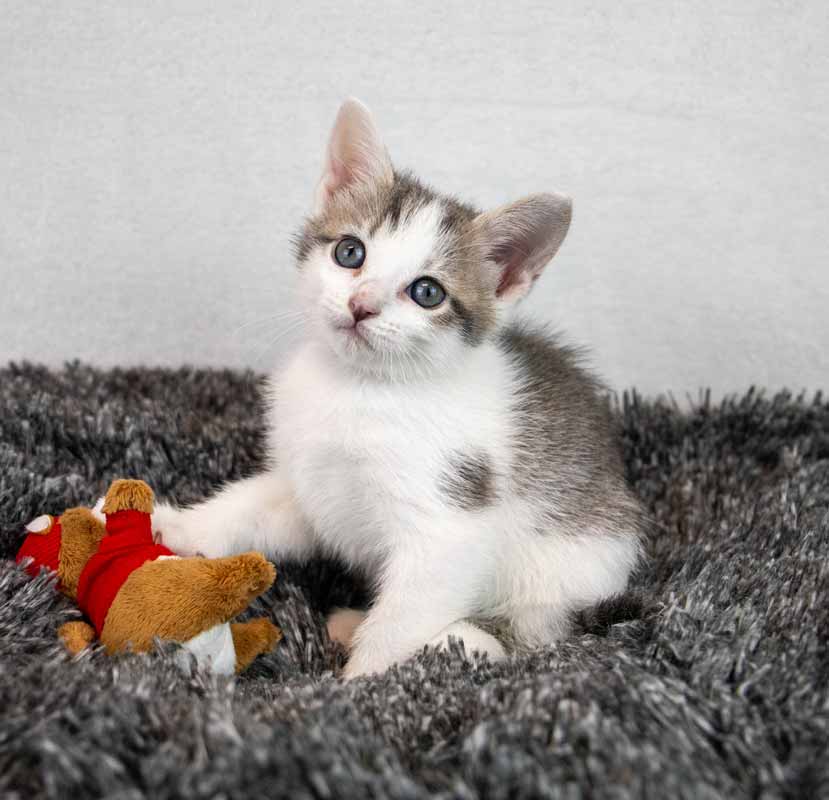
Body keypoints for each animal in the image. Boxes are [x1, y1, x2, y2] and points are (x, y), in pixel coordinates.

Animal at [153, 98, 645, 679]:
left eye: (427, 292)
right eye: (350, 252)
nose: (361, 305)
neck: (360, 388)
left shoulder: (450, 522)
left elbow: (403, 617)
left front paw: (359, 683)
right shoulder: (311, 480)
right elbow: (255, 507)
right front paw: (176, 527)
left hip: (567, 572)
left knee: (522, 636)